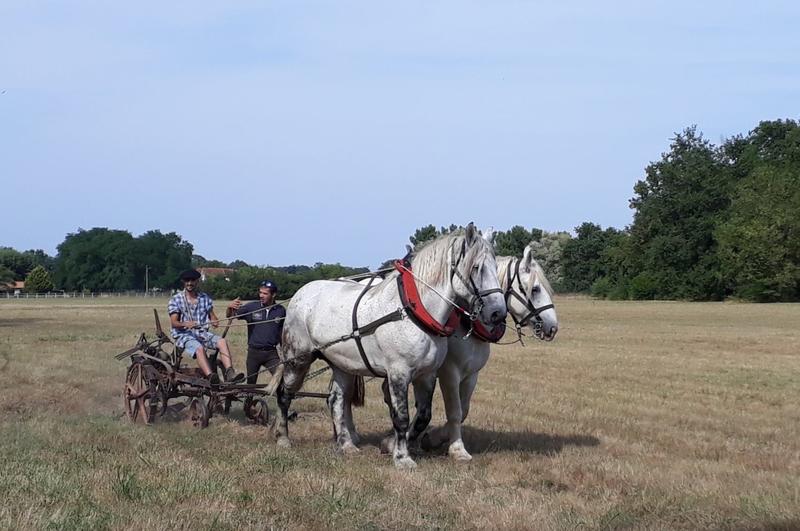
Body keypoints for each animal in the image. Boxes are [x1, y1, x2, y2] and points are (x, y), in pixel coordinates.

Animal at [275, 224, 507, 469]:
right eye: (476, 267)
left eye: (495, 267)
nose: (498, 313)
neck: (411, 309)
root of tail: (301, 293)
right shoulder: (399, 373)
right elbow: (402, 417)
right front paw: (402, 458)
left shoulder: (427, 374)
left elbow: (423, 415)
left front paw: (395, 445)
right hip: (297, 358)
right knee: (284, 394)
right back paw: (283, 439)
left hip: (342, 364)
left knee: (336, 400)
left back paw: (346, 445)